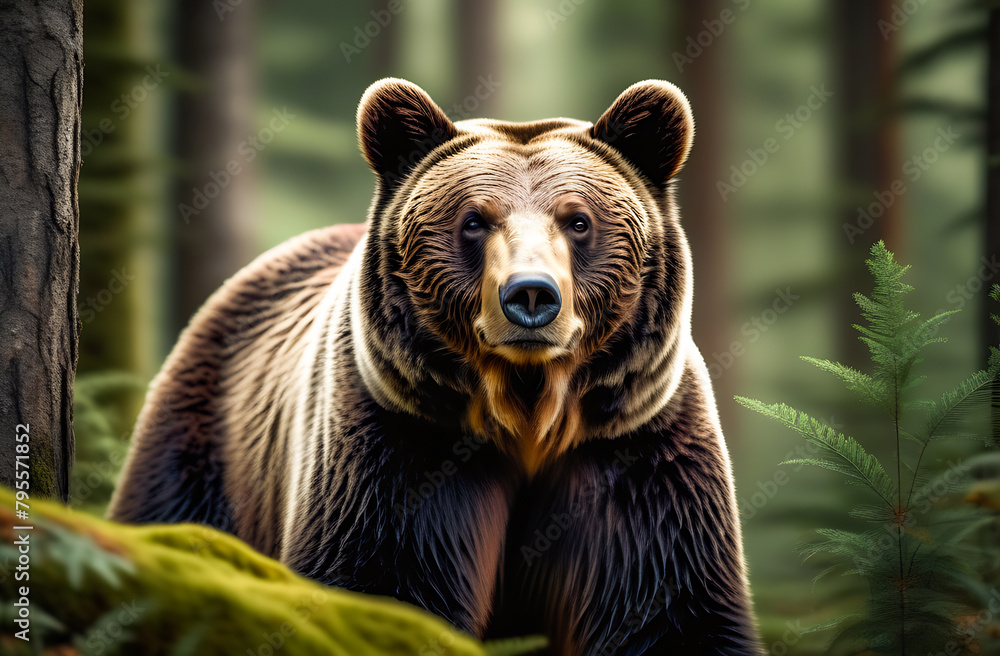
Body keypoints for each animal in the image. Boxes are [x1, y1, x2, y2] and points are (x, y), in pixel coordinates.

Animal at [108, 78, 763, 655]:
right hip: (206, 441)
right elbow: (384, 585)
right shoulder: (401, 443)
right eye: (474, 220)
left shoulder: (635, 452)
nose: (531, 295)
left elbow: (669, 611)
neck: (528, 415)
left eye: (578, 220)